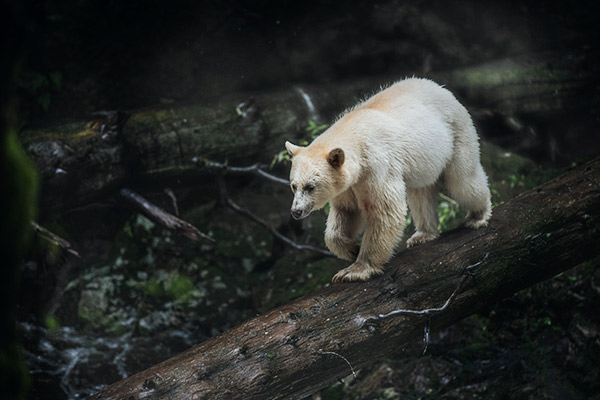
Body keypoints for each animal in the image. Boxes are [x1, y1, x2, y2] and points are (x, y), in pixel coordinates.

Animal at [288, 77, 492, 282]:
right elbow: (347, 211)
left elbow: (384, 211)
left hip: (455, 132)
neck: (354, 132)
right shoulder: (349, 184)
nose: (296, 211)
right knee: (421, 192)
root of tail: (439, 87)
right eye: (293, 186)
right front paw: (351, 250)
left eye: (310, 186)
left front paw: (356, 270)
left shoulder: (376, 166)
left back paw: (477, 216)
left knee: (462, 180)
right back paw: (423, 234)